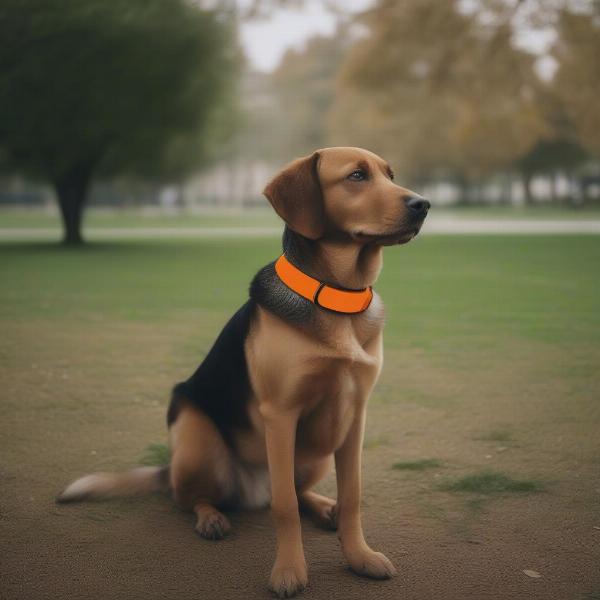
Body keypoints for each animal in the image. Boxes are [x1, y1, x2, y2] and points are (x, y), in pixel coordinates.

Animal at [57, 145, 432, 596]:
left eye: (390, 175)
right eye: (356, 176)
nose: (423, 204)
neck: (335, 298)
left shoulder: (354, 416)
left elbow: (352, 495)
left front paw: (359, 556)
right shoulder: (281, 414)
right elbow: (285, 507)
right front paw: (289, 570)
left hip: (318, 452)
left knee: (295, 491)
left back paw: (324, 507)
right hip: (199, 445)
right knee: (201, 498)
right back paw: (211, 518)